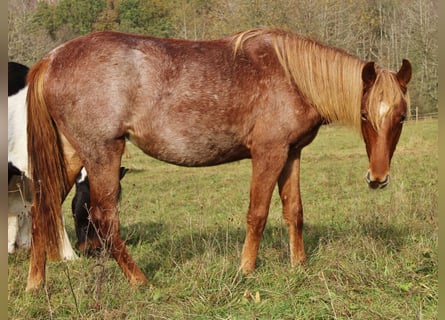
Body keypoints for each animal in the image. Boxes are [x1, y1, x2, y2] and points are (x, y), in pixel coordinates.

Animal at [25, 28, 410, 292]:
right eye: (364, 115)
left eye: (402, 116)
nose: (378, 178)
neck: (292, 77)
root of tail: (52, 58)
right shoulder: (269, 152)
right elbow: (257, 213)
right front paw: (246, 269)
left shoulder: (292, 153)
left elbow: (294, 210)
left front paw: (299, 264)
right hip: (102, 154)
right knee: (104, 218)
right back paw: (139, 280)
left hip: (70, 155)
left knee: (41, 207)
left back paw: (36, 283)